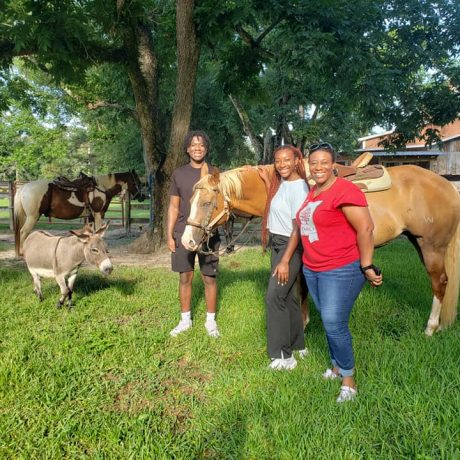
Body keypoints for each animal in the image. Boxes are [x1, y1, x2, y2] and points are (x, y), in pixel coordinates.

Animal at [13, 170, 146, 255]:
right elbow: (99, 232)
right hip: (32, 217)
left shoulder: (91, 216)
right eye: (138, 182)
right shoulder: (99, 213)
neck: (102, 188)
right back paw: (22, 252)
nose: (143, 196)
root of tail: (23, 187)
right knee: (23, 232)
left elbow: (93, 232)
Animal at [181, 164, 460, 336]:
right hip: (419, 242)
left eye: (207, 202)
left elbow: (302, 288)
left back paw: (430, 328)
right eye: (191, 200)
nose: (187, 242)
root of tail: (448, 186)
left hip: (431, 247)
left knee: (440, 283)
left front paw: (302, 325)